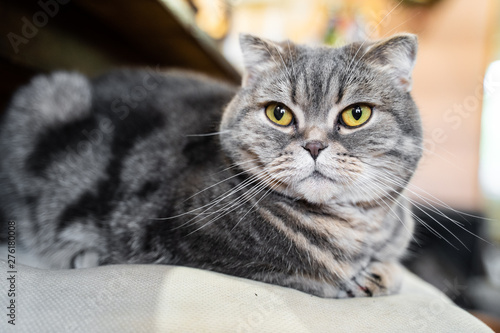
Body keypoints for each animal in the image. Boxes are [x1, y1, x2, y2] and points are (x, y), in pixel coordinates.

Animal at [0, 33, 422, 296]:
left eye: (355, 114)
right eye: (280, 113)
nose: (315, 145)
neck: (356, 227)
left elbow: (391, 266)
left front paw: (381, 271)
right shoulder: (182, 241)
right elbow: (310, 270)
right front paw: (357, 276)